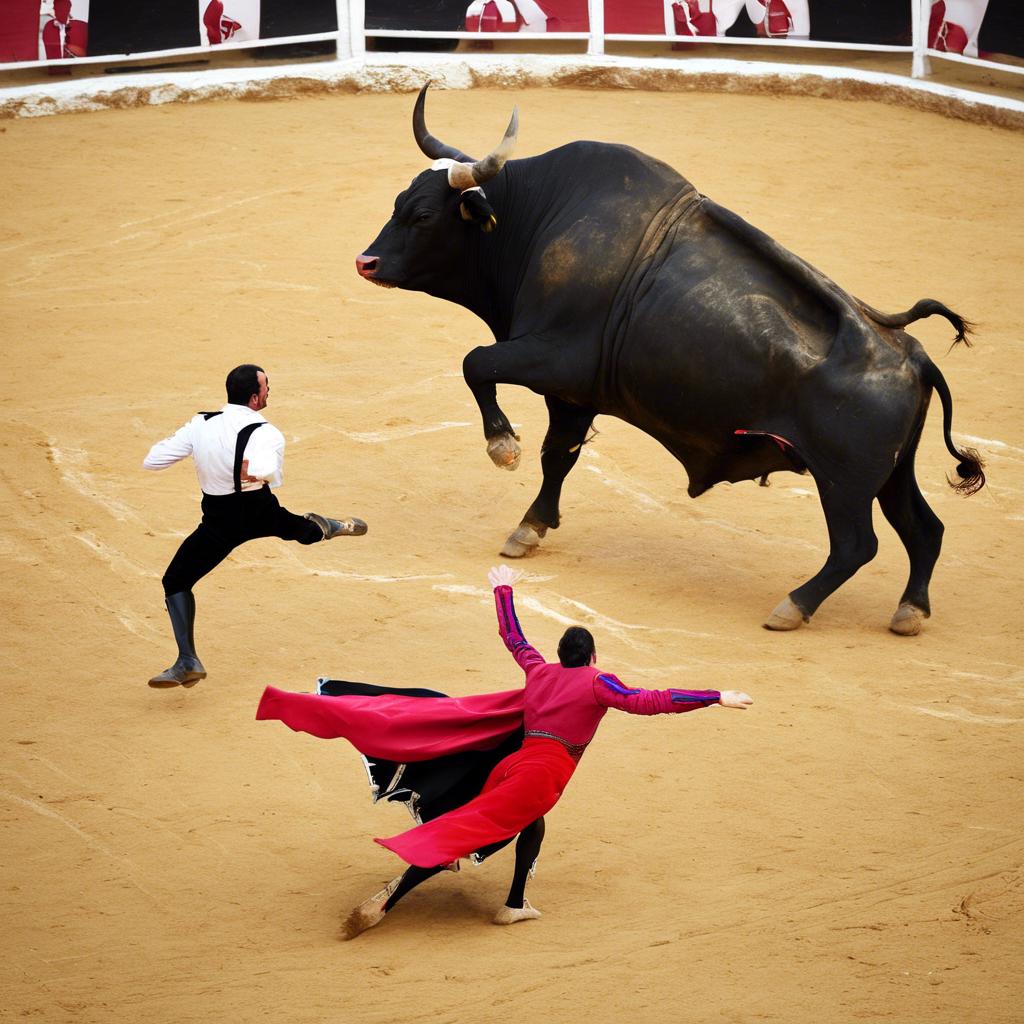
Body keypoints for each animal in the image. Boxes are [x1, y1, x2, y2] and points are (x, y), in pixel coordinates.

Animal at [354, 88, 983, 634]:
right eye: (397, 203)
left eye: (425, 216)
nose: (366, 261)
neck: (537, 219)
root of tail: (915, 357)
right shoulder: (573, 395)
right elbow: (559, 456)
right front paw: (530, 528)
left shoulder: (553, 360)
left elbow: (476, 364)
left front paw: (502, 446)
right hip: (891, 475)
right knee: (925, 530)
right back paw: (910, 612)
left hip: (844, 483)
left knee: (857, 545)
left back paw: (793, 606)